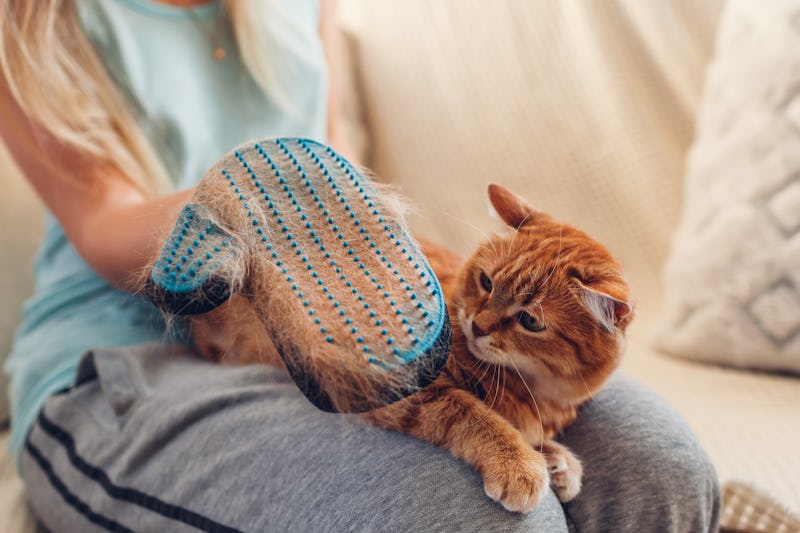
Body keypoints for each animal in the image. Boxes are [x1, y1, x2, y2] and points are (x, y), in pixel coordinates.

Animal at [194, 184, 632, 512]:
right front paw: (520, 463)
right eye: (487, 282)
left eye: (531, 321)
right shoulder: (394, 388)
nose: (478, 325)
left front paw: (558, 460)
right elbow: (472, 414)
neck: (528, 388)